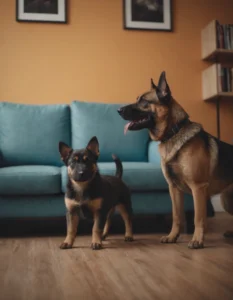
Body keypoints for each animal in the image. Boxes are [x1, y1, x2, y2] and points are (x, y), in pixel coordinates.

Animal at [119, 71, 233, 250]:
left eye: (144, 101)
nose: (118, 110)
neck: (173, 132)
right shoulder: (174, 189)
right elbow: (176, 216)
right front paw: (172, 236)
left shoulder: (198, 188)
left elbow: (198, 217)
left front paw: (197, 240)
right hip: (227, 200)